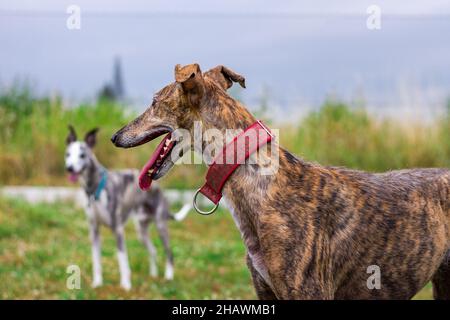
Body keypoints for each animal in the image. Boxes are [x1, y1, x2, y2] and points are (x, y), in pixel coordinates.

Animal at [64, 126, 189, 292]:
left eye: (82, 155)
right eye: (68, 154)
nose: (69, 168)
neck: (95, 187)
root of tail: (158, 188)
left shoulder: (118, 230)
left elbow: (122, 260)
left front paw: (125, 285)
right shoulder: (94, 231)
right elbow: (96, 261)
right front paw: (97, 283)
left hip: (161, 227)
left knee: (169, 253)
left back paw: (168, 277)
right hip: (141, 232)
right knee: (153, 250)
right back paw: (153, 275)